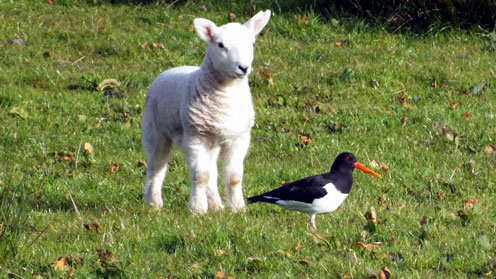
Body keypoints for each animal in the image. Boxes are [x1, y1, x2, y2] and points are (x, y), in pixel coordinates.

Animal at [141, 9, 274, 214]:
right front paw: (198, 209)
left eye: (251, 43)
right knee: (156, 169)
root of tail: (169, 71)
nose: (243, 68)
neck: (226, 95)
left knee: (212, 172)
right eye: (220, 45)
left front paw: (238, 208)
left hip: (212, 140)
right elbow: (200, 176)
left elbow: (234, 177)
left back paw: (217, 206)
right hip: (156, 132)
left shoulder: (239, 138)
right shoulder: (196, 137)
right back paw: (154, 203)